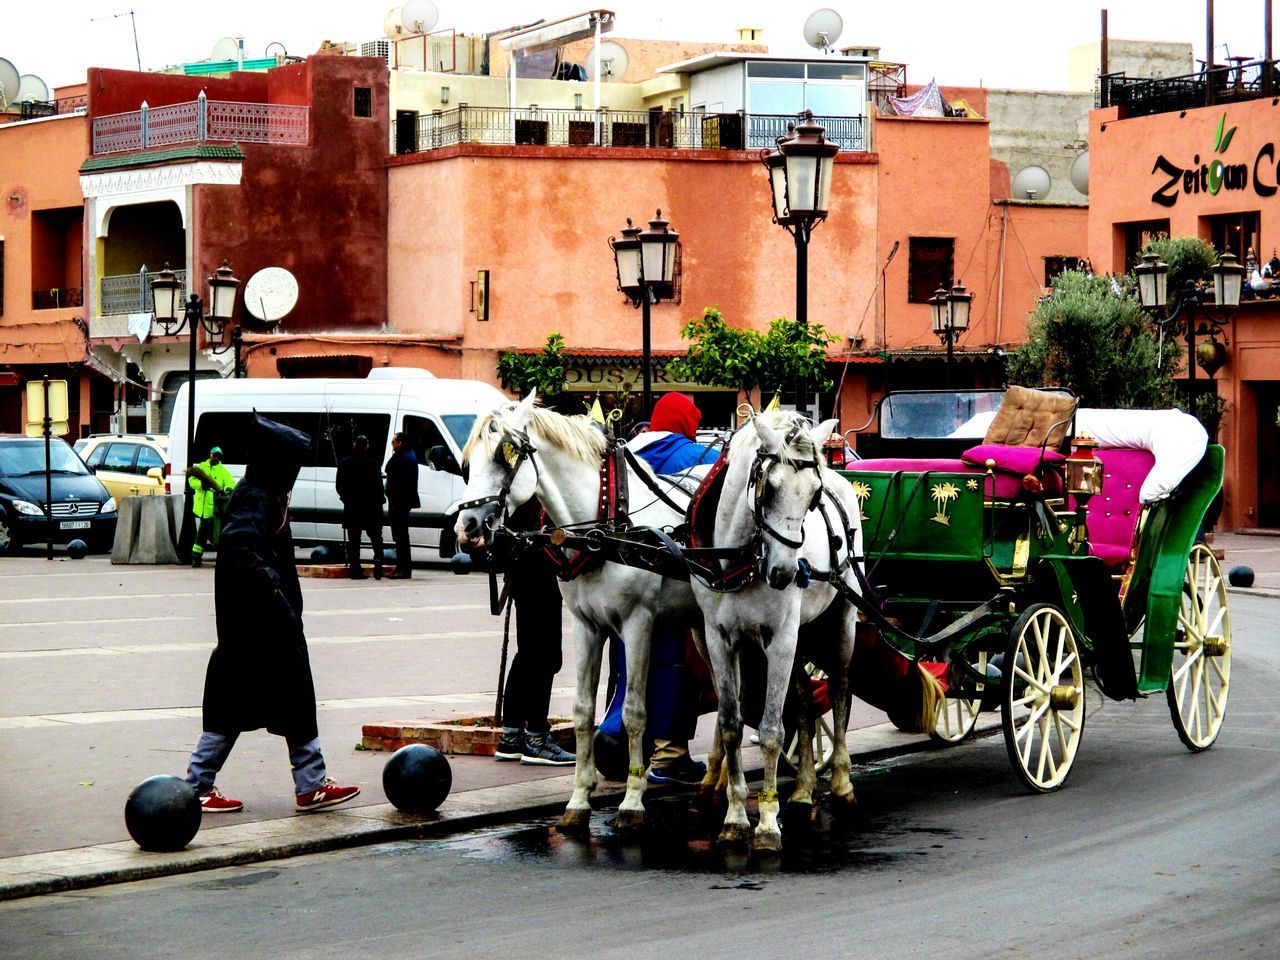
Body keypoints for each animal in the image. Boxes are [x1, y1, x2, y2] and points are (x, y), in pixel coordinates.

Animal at [455, 391, 701, 834]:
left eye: (505, 455)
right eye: (468, 462)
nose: (468, 529)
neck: (602, 531)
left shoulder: (639, 624)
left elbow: (636, 712)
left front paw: (632, 802)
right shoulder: (586, 625)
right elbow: (584, 711)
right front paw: (579, 800)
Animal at [696, 412, 865, 849]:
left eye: (814, 495)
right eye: (769, 487)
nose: (785, 573)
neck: (740, 559)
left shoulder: (781, 639)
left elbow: (772, 729)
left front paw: (768, 824)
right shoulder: (718, 639)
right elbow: (731, 724)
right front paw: (736, 816)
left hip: (841, 617)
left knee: (840, 689)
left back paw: (842, 782)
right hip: (801, 634)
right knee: (805, 702)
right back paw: (804, 788)